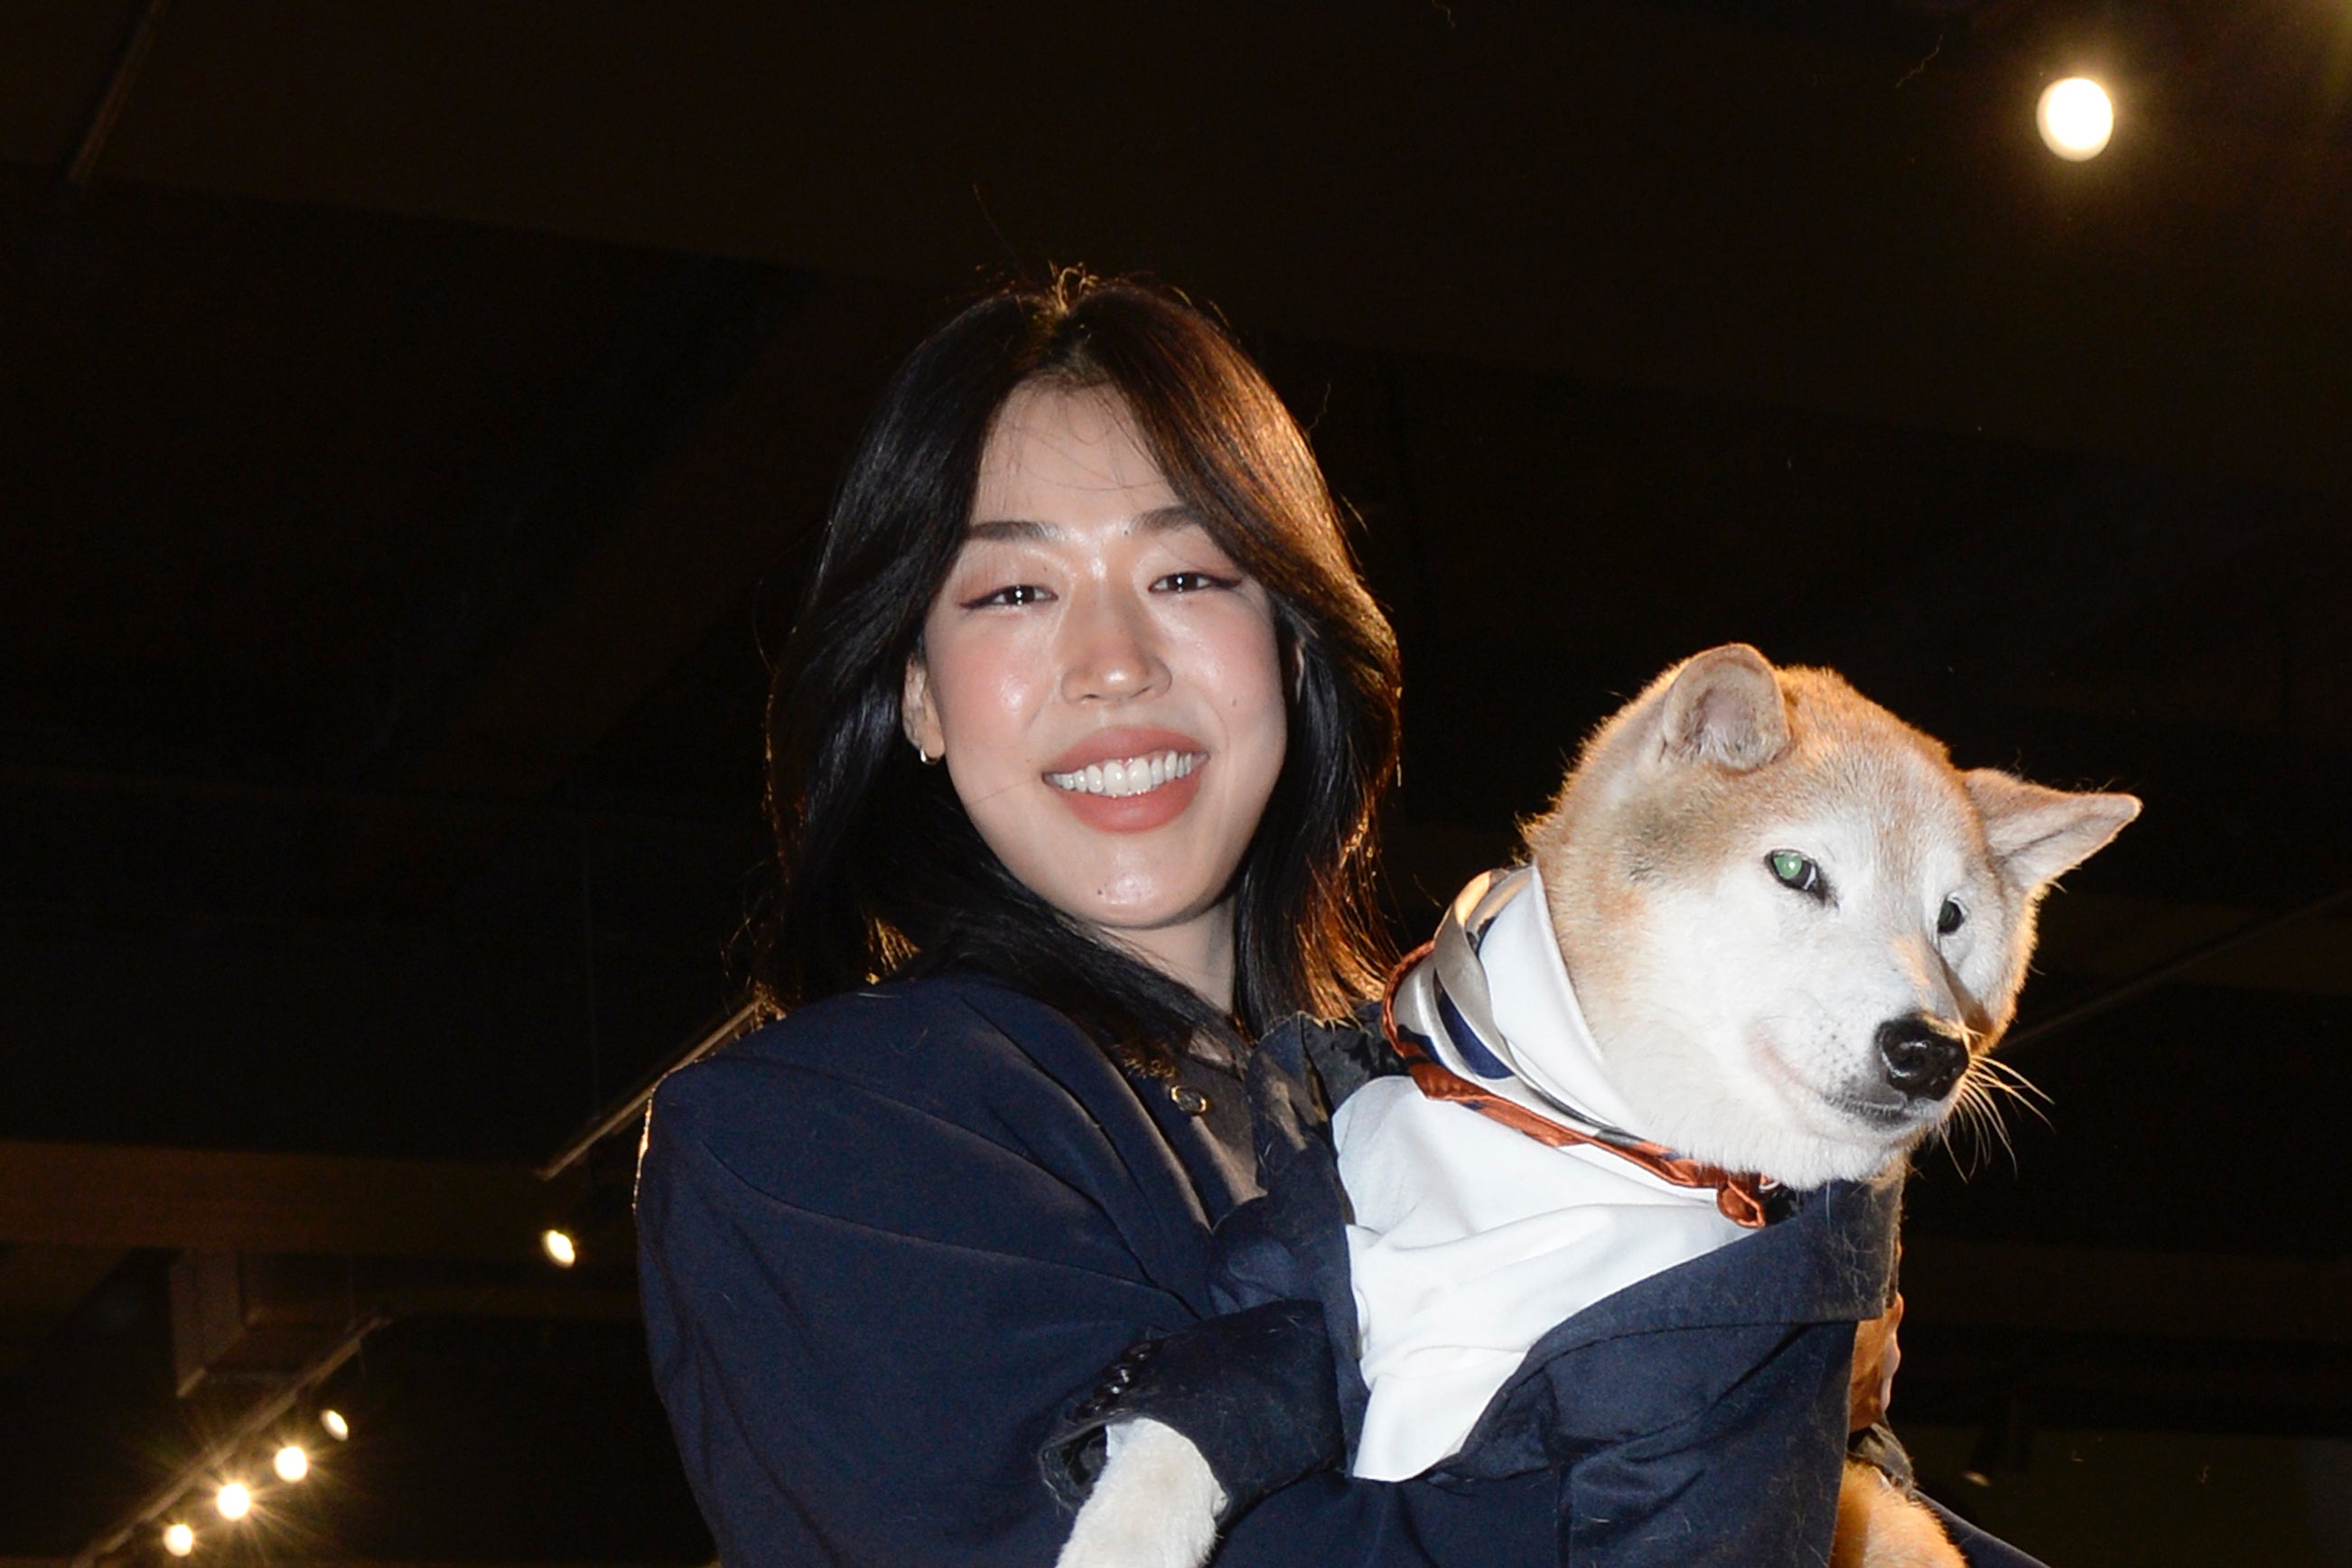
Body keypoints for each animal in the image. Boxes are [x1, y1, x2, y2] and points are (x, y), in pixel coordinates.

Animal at [1077, 644, 2144, 1561]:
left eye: (1952, 918)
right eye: (1797, 871)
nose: (1929, 1049)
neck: (1593, 1147)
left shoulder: (1718, 1428)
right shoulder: (1300, 1274)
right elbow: (1203, 1400)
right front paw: (1123, 1532)